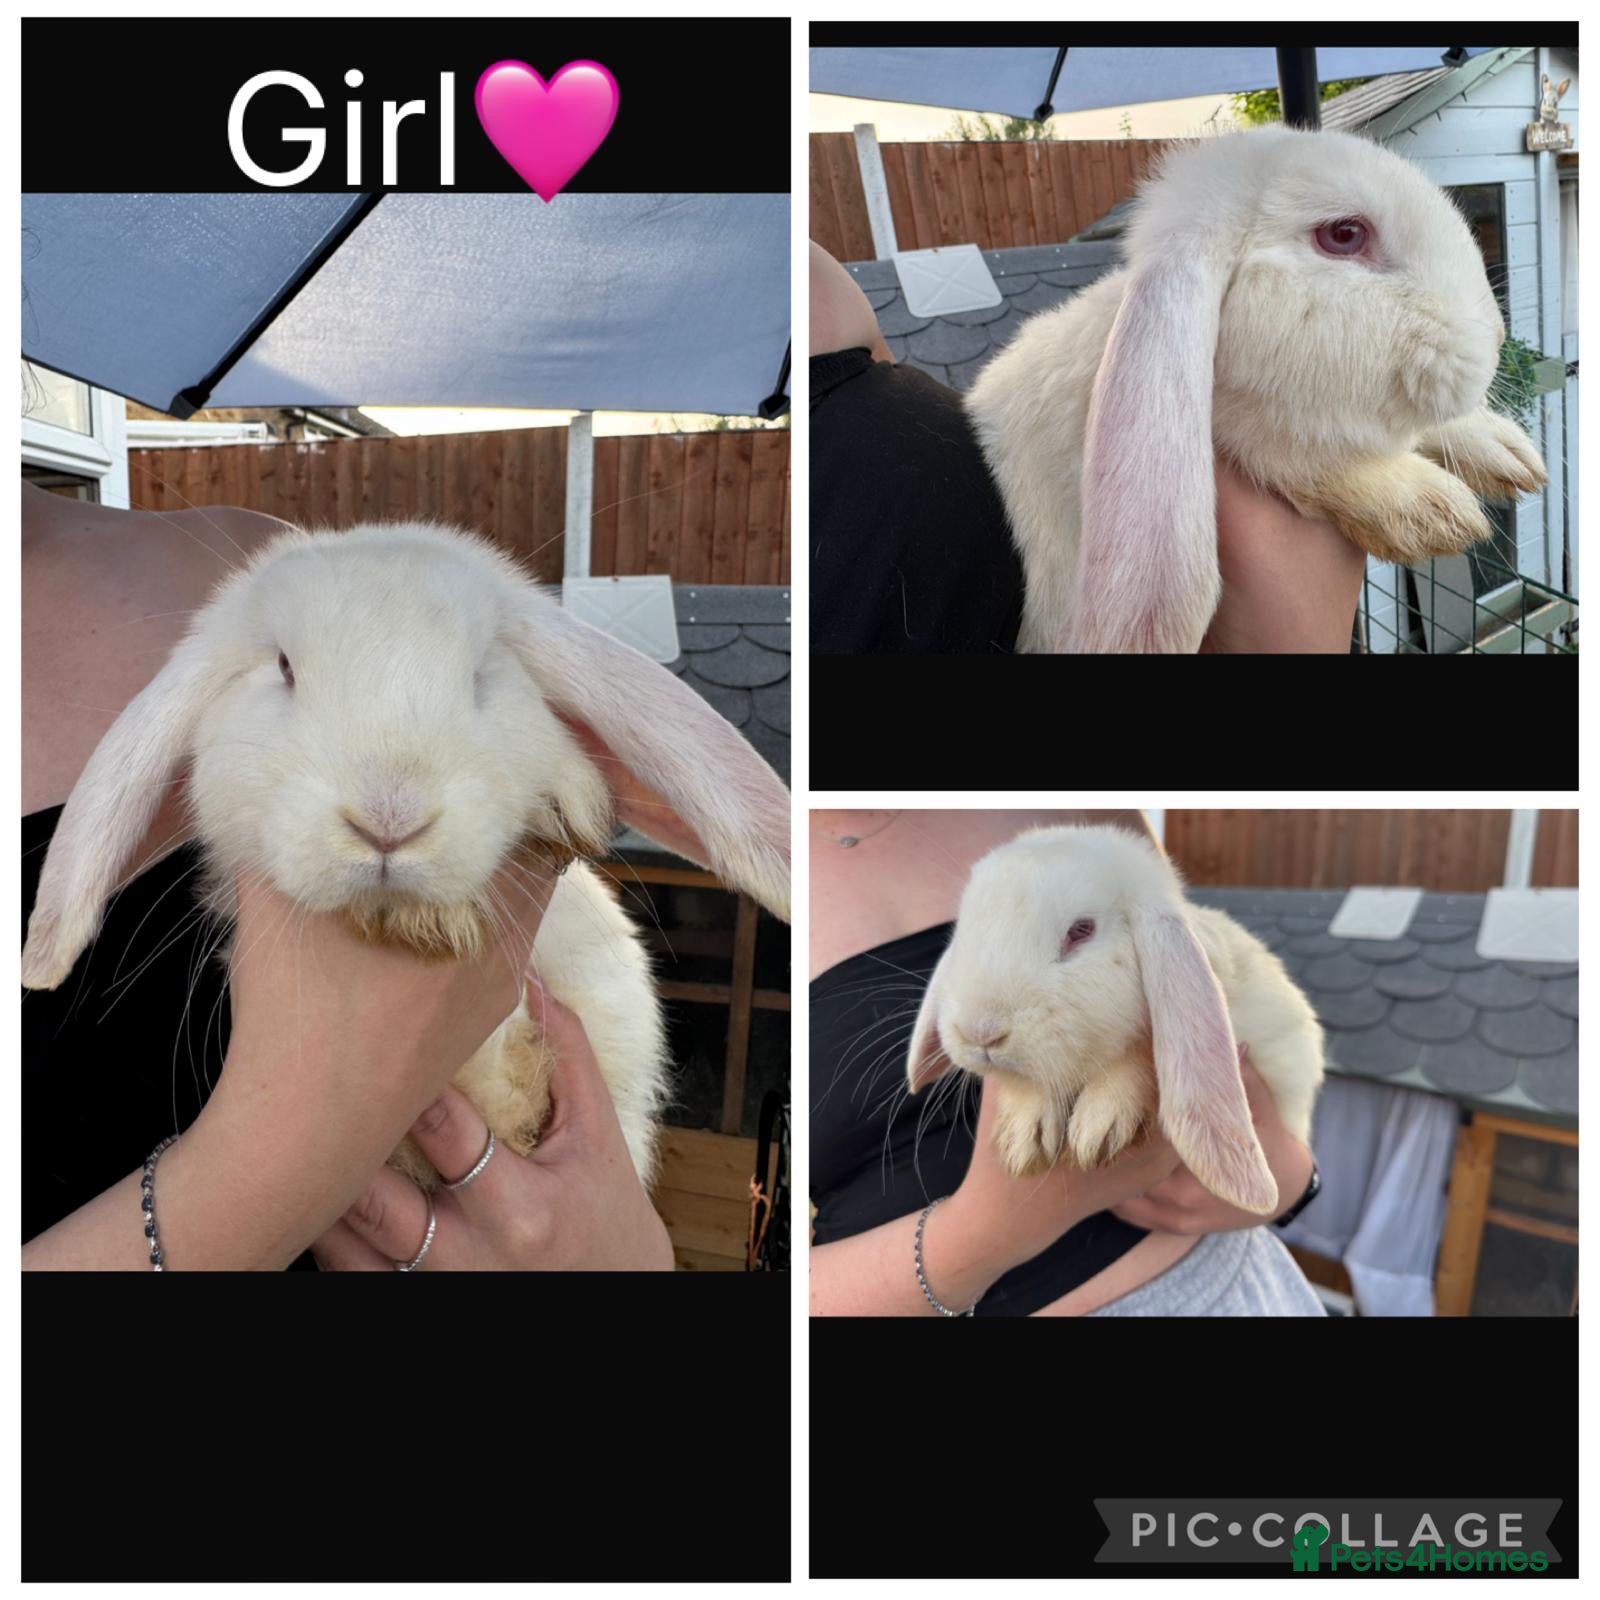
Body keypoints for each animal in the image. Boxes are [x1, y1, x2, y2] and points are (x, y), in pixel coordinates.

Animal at [906, 825, 1323, 1216]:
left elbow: (1139, 1050)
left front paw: (1098, 1127)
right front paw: (1024, 1136)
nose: (980, 1033)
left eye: (1081, 931)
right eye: (965, 931)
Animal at [965, 126, 1547, 653]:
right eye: (1344, 234)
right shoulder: (1259, 432)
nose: (1496, 337)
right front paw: (1425, 507)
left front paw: (1507, 453)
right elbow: (1294, 451)